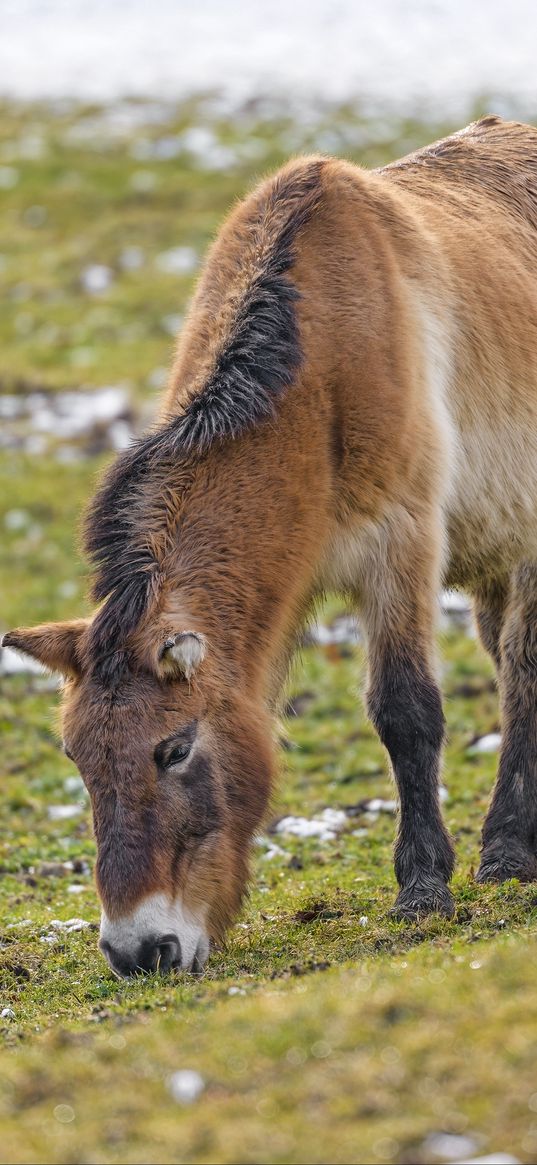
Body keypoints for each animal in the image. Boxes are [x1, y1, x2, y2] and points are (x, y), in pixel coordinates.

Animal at [6, 115, 535, 973]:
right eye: (78, 759)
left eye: (173, 748)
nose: (138, 950)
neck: (318, 366)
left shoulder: (400, 548)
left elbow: (405, 709)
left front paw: (422, 888)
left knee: (521, 664)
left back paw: (509, 851)